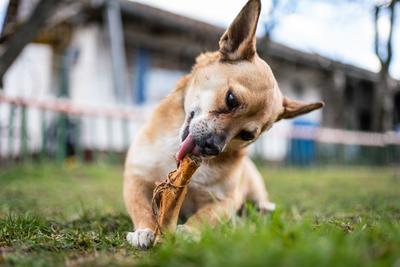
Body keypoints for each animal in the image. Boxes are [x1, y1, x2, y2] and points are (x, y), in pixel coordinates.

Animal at [123, 0, 324, 250]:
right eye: (231, 99)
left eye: (247, 135)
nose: (213, 147)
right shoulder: (136, 180)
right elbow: (141, 207)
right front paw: (144, 230)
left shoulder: (224, 200)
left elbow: (207, 216)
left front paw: (190, 231)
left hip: (254, 190)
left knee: (259, 203)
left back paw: (263, 209)